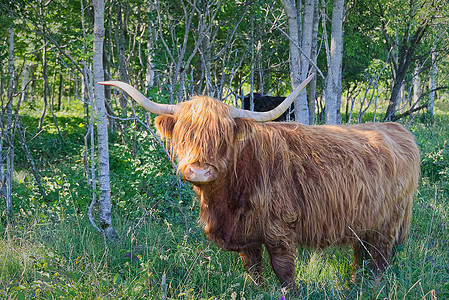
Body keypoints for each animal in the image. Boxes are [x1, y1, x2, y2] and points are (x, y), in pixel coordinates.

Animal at [100, 75, 418, 290]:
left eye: (222, 137)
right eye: (184, 135)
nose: (200, 171)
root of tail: (396, 128)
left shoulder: (280, 231)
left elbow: (285, 273)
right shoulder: (245, 236)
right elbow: (253, 272)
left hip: (388, 225)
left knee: (378, 261)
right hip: (365, 225)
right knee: (360, 257)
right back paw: (354, 285)